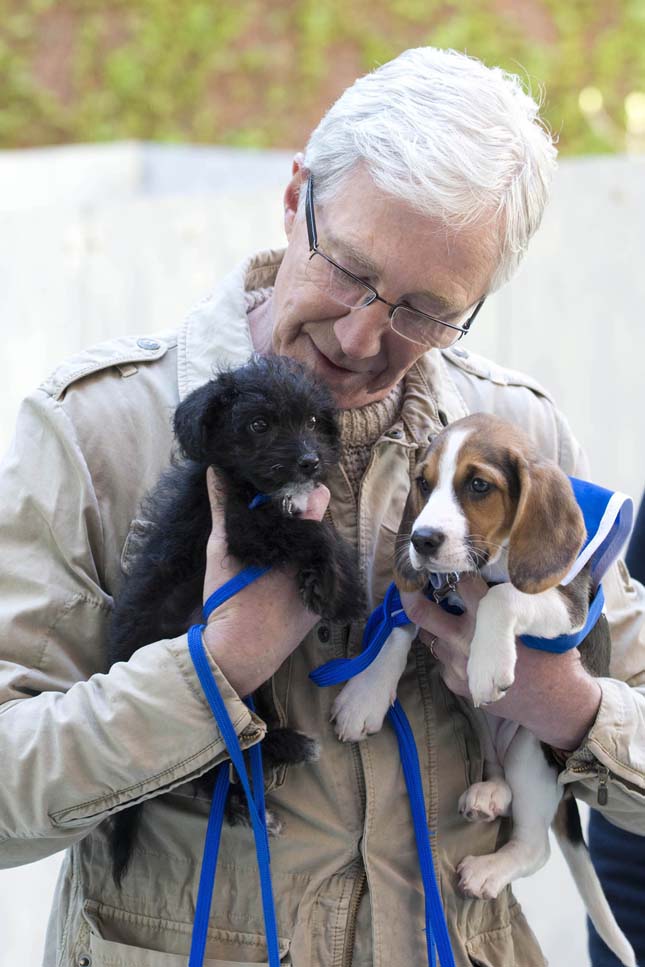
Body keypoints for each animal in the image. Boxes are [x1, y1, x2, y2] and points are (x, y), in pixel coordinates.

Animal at [108, 354, 364, 884]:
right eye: (259, 425)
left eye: (314, 421)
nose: (309, 462)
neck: (258, 490)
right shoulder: (244, 529)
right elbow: (315, 533)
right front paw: (338, 590)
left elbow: (319, 529)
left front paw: (338, 584)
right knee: (211, 768)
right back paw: (256, 795)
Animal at [332, 412, 632, 964]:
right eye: (423, 482)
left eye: (478, 485)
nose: (422, 539)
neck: (483, 566)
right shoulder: (425, 594)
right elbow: (402, 623)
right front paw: (367, 693)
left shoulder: (564, 605)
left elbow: (505, 596)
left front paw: (488, 659)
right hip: (484, 733)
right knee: (502, 781)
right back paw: (490, 793)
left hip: (535, 748)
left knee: (535, 845)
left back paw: (490, 869)